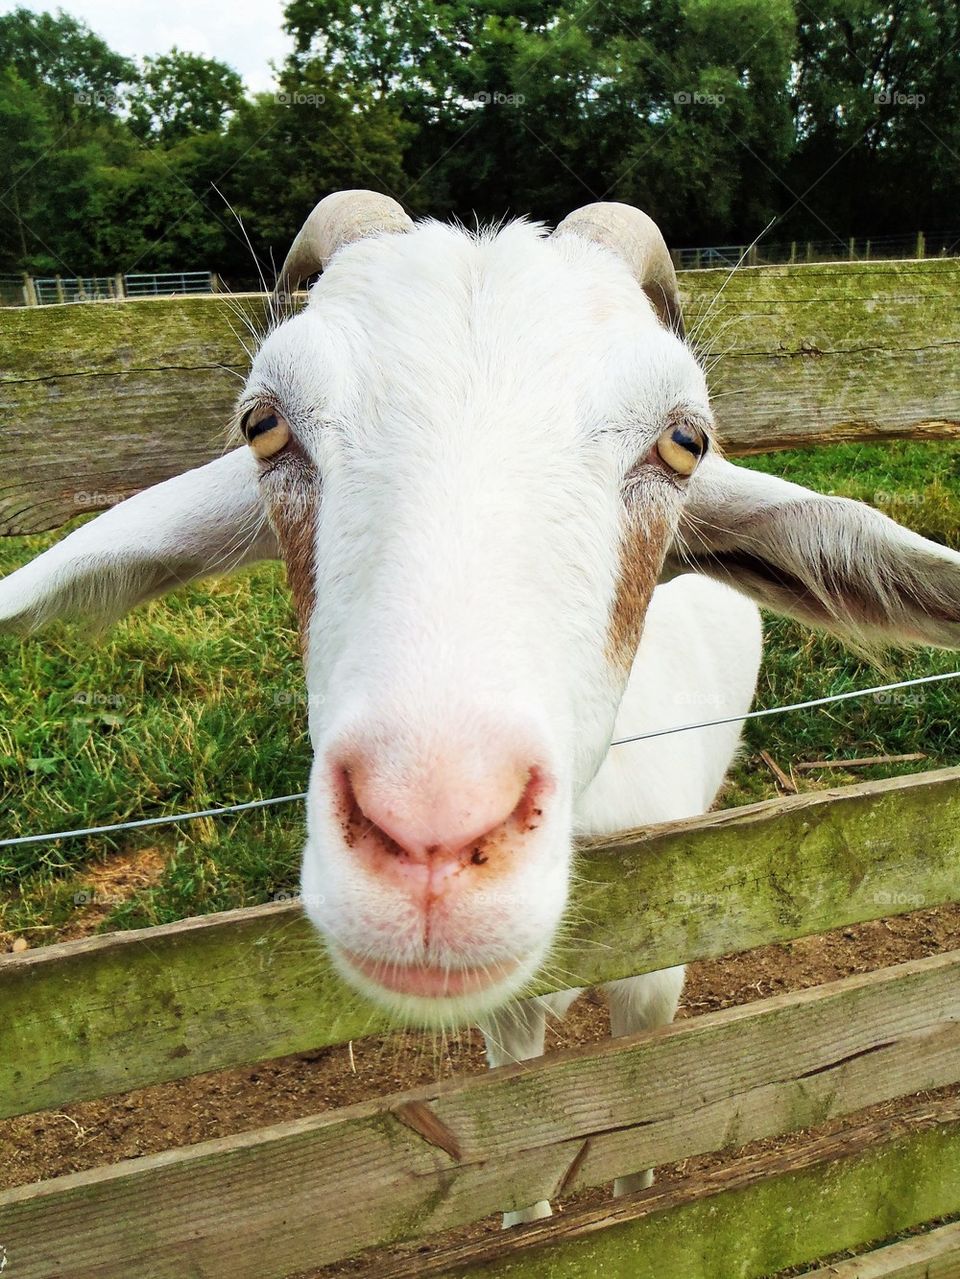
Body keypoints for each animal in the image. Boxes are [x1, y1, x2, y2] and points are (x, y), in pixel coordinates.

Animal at [3, 192, 959, 1224]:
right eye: (264, 424)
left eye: (684, 440)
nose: (431, 836)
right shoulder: (507, 1018)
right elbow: (520, 1141)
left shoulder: (661, 966)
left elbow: (647, 1113)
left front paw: (637, 1192)